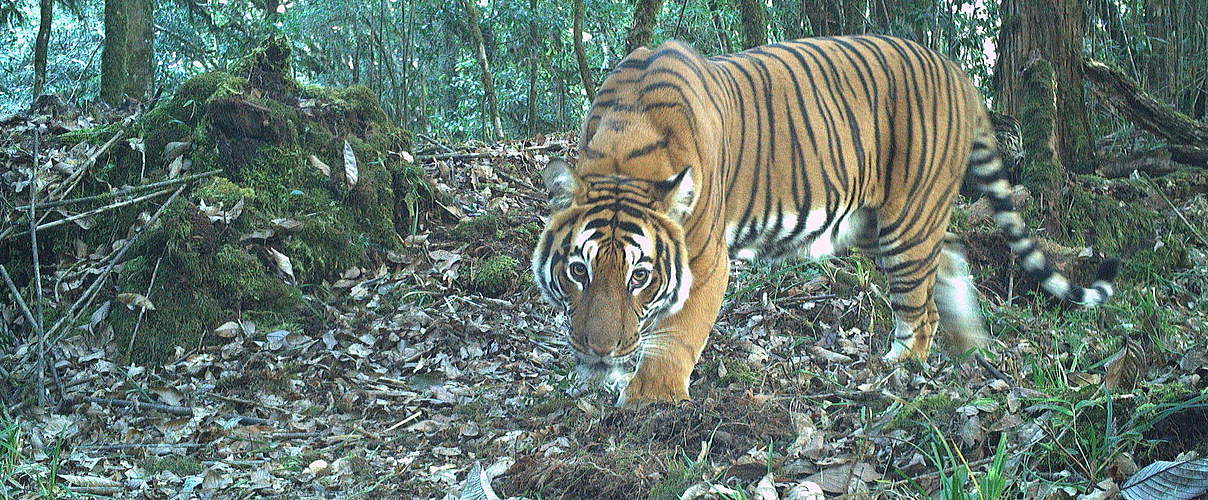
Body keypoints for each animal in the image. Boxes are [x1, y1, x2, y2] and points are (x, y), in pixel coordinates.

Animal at [533, 35, 1116, 403]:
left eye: (641, 276)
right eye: (579, 270)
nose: (599, 349)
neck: (623, 152)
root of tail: (955, 70)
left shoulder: (704, 259)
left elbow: (675, 333)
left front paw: (649, 403)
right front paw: (598, 379)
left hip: (906, 220)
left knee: (920, 305)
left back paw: (898, 368)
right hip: (880, 221)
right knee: (950, 254)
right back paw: (972, 344)